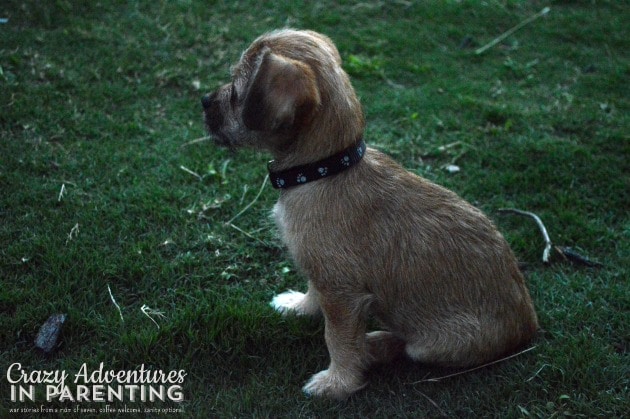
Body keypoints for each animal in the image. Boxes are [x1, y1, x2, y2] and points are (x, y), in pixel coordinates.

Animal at [202, 29, 540, 400]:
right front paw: (298, 306)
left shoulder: (342, 294)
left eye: (237, 91)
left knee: (407, 346)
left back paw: (374, 345)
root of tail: (529, 325)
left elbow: (337, 339)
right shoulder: (322, 274)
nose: (203, 100)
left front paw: (337, 383)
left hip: (434, 343)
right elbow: (312, 291)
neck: (325, 169)